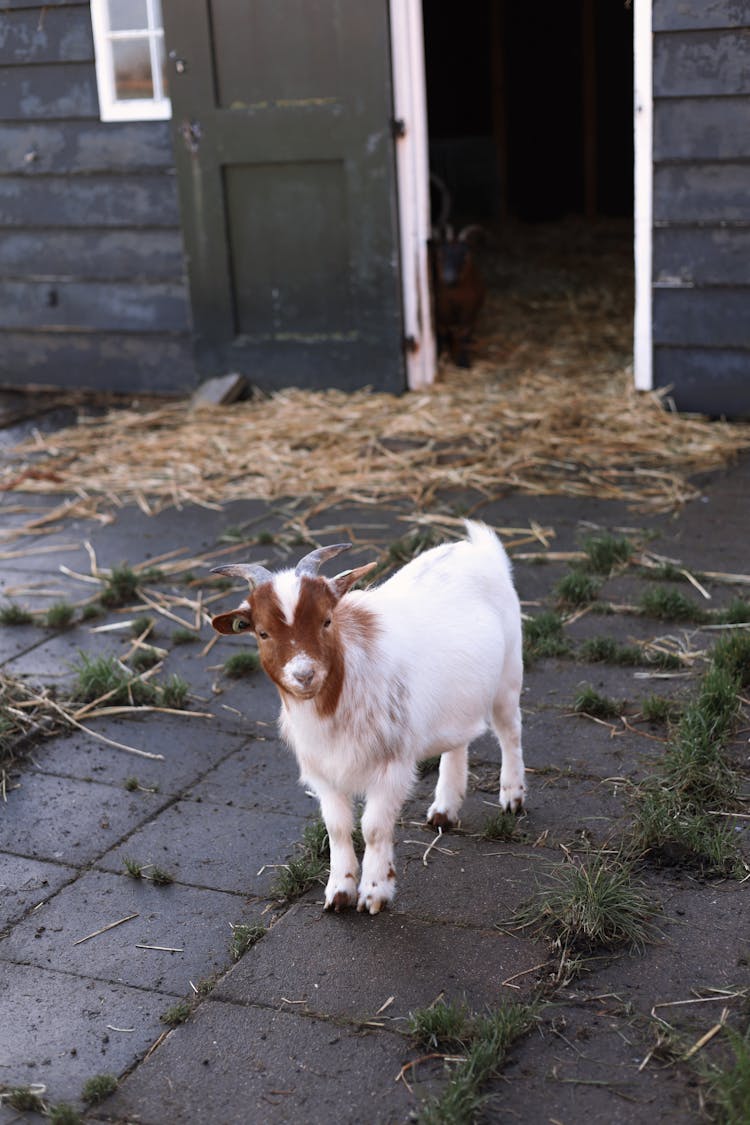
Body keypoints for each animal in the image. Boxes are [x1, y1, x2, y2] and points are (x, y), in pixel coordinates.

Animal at [211, 522, 526, 918]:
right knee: (458, 741)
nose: (304, 675)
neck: (334, 703)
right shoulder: (324, 771)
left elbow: (373, 827)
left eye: (327, 620)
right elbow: (337, 827)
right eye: (263, 632)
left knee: (510, 731)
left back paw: (513, 796)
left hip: (508, 674)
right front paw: (339, 891)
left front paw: (375, 892)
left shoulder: (392, 765)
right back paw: (445, 808)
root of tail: (479, 547)